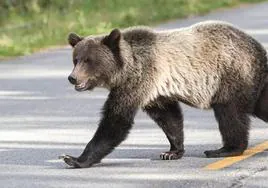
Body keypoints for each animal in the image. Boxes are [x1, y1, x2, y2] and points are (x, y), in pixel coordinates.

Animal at [60, 20, 268, 167]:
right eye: (75, 59)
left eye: (88, 60)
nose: (72, 78)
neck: (125, 69)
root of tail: (258, 49)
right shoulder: (155, 92)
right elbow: (169, 118)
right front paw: (171, 151)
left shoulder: (139, 79)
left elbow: (116, 120)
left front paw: (74, 158)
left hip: (231, 74)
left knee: (229, 113)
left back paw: (225, 149)